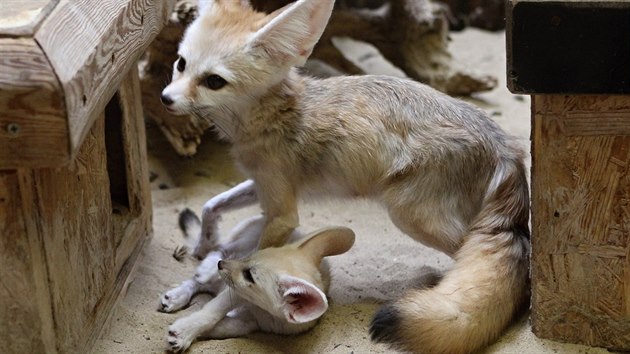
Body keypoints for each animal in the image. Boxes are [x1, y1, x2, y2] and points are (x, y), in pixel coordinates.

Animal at [160, 0, 532, 354]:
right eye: (181, 63)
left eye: (214, 81)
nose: (165, 99)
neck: (274, 115)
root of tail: (506, 145)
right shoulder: (264, 185)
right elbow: (212, 204)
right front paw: (204, 243)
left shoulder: (282, 213)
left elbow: (241, 280)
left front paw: (193, 325)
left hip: (412, 216)